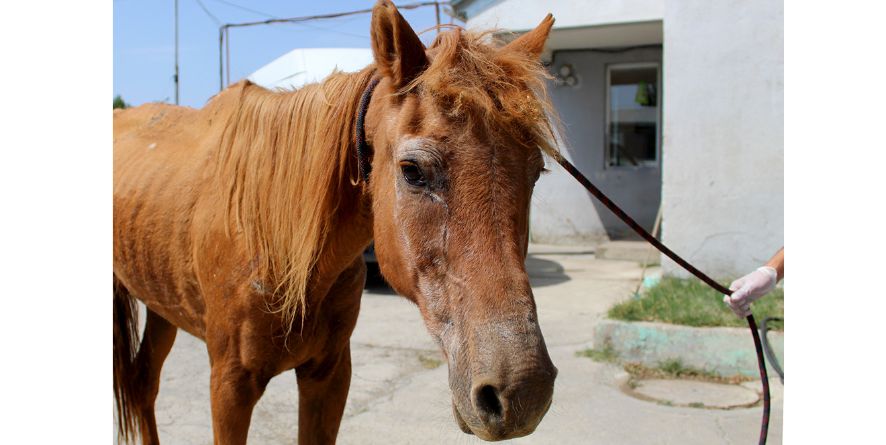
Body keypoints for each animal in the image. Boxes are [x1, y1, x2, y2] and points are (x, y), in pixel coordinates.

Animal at [114, 1, 560, 442]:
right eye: (412, 170)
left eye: (536, 171)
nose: (524, 391)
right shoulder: (230, 385)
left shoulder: (328, 376)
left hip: (162, 307)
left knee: (145, 383)